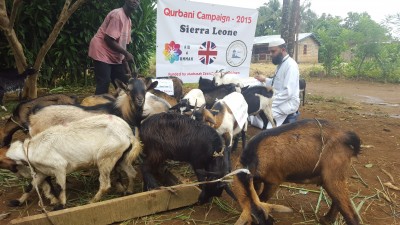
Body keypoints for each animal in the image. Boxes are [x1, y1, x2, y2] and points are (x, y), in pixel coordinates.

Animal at [0, 115, 142, 210]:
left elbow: (61, 187)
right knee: (132, 173)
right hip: (121, 157)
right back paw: (129, 191)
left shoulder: (59, 167)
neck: (30, 149)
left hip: (105, 158)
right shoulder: (42, 172)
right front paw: (17, 202)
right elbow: (30, 186)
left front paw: (61, 205)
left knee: (105, 184)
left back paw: (92, 201)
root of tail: (128, 134)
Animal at [231, 118, 360, 224]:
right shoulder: (256, 180)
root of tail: (347, 136)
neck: (254, 155)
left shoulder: (273, 181)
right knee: (337, 202)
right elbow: (258, 194)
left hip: (333, 177)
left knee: (350, 213)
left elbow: (262, 197)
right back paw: (327, 220)